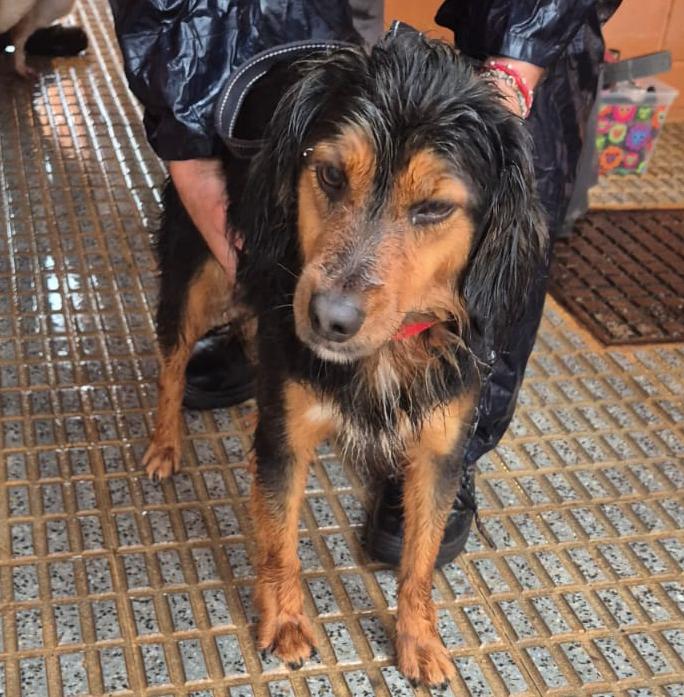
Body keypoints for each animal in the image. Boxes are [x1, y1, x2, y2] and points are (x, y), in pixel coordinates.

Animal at [144, 32, 547, 687]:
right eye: (330, 174)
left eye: (434, 208)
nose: (328, 318)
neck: (388, 347)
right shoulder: (285, 438)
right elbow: (279, 542)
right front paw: (285, 624)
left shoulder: (441, 446)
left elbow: (419, 559)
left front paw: (419, 640)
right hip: (198, 264)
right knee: (172, 363)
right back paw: (163, 444)